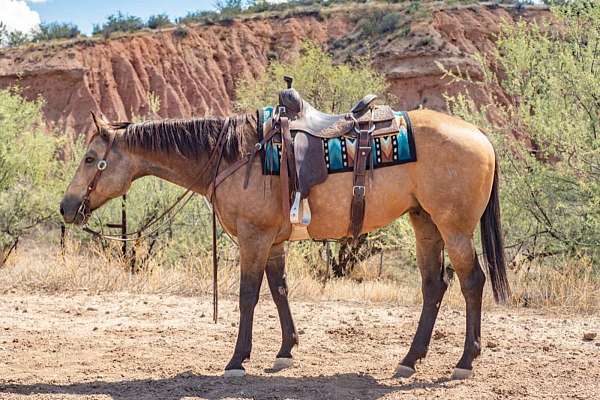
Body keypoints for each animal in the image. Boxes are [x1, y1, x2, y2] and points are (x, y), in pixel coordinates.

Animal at [59, 88, 510, 382]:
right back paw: (410, 360)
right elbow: (279, 292)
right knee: (434, 287)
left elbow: (248, 296)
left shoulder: (253, 239)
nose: (66, 207)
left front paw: (237, 360)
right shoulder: (273, 242)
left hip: (454, 227)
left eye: (90, 158)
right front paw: (285, 352)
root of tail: (482, 137)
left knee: (471, 282)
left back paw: (464, 362)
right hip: (425, 223)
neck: (236, 154)